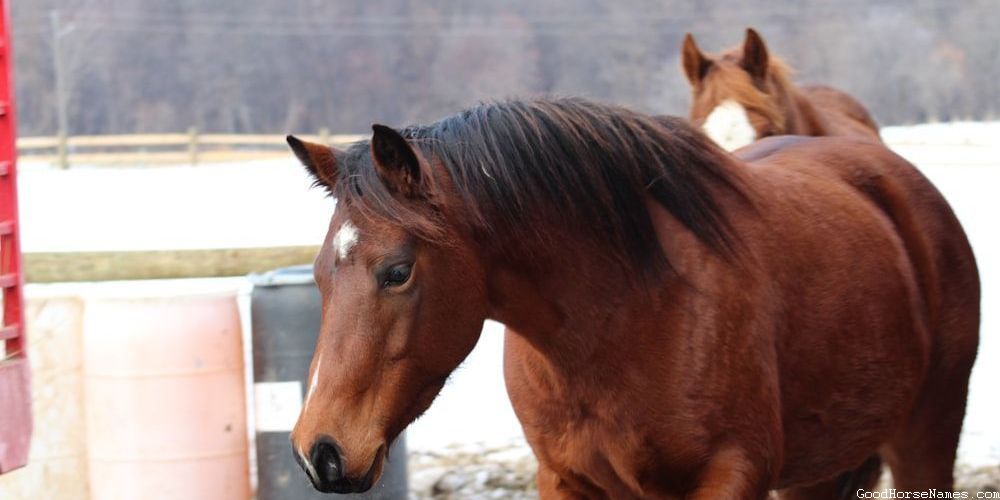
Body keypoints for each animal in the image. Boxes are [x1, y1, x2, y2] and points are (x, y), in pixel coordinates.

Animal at [285, 97, 978, 499]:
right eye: (317, 275)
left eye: (397, 271)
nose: (321, 451)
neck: (620, 322)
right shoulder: (566, 480)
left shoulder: (732, 472)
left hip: (926, 438)